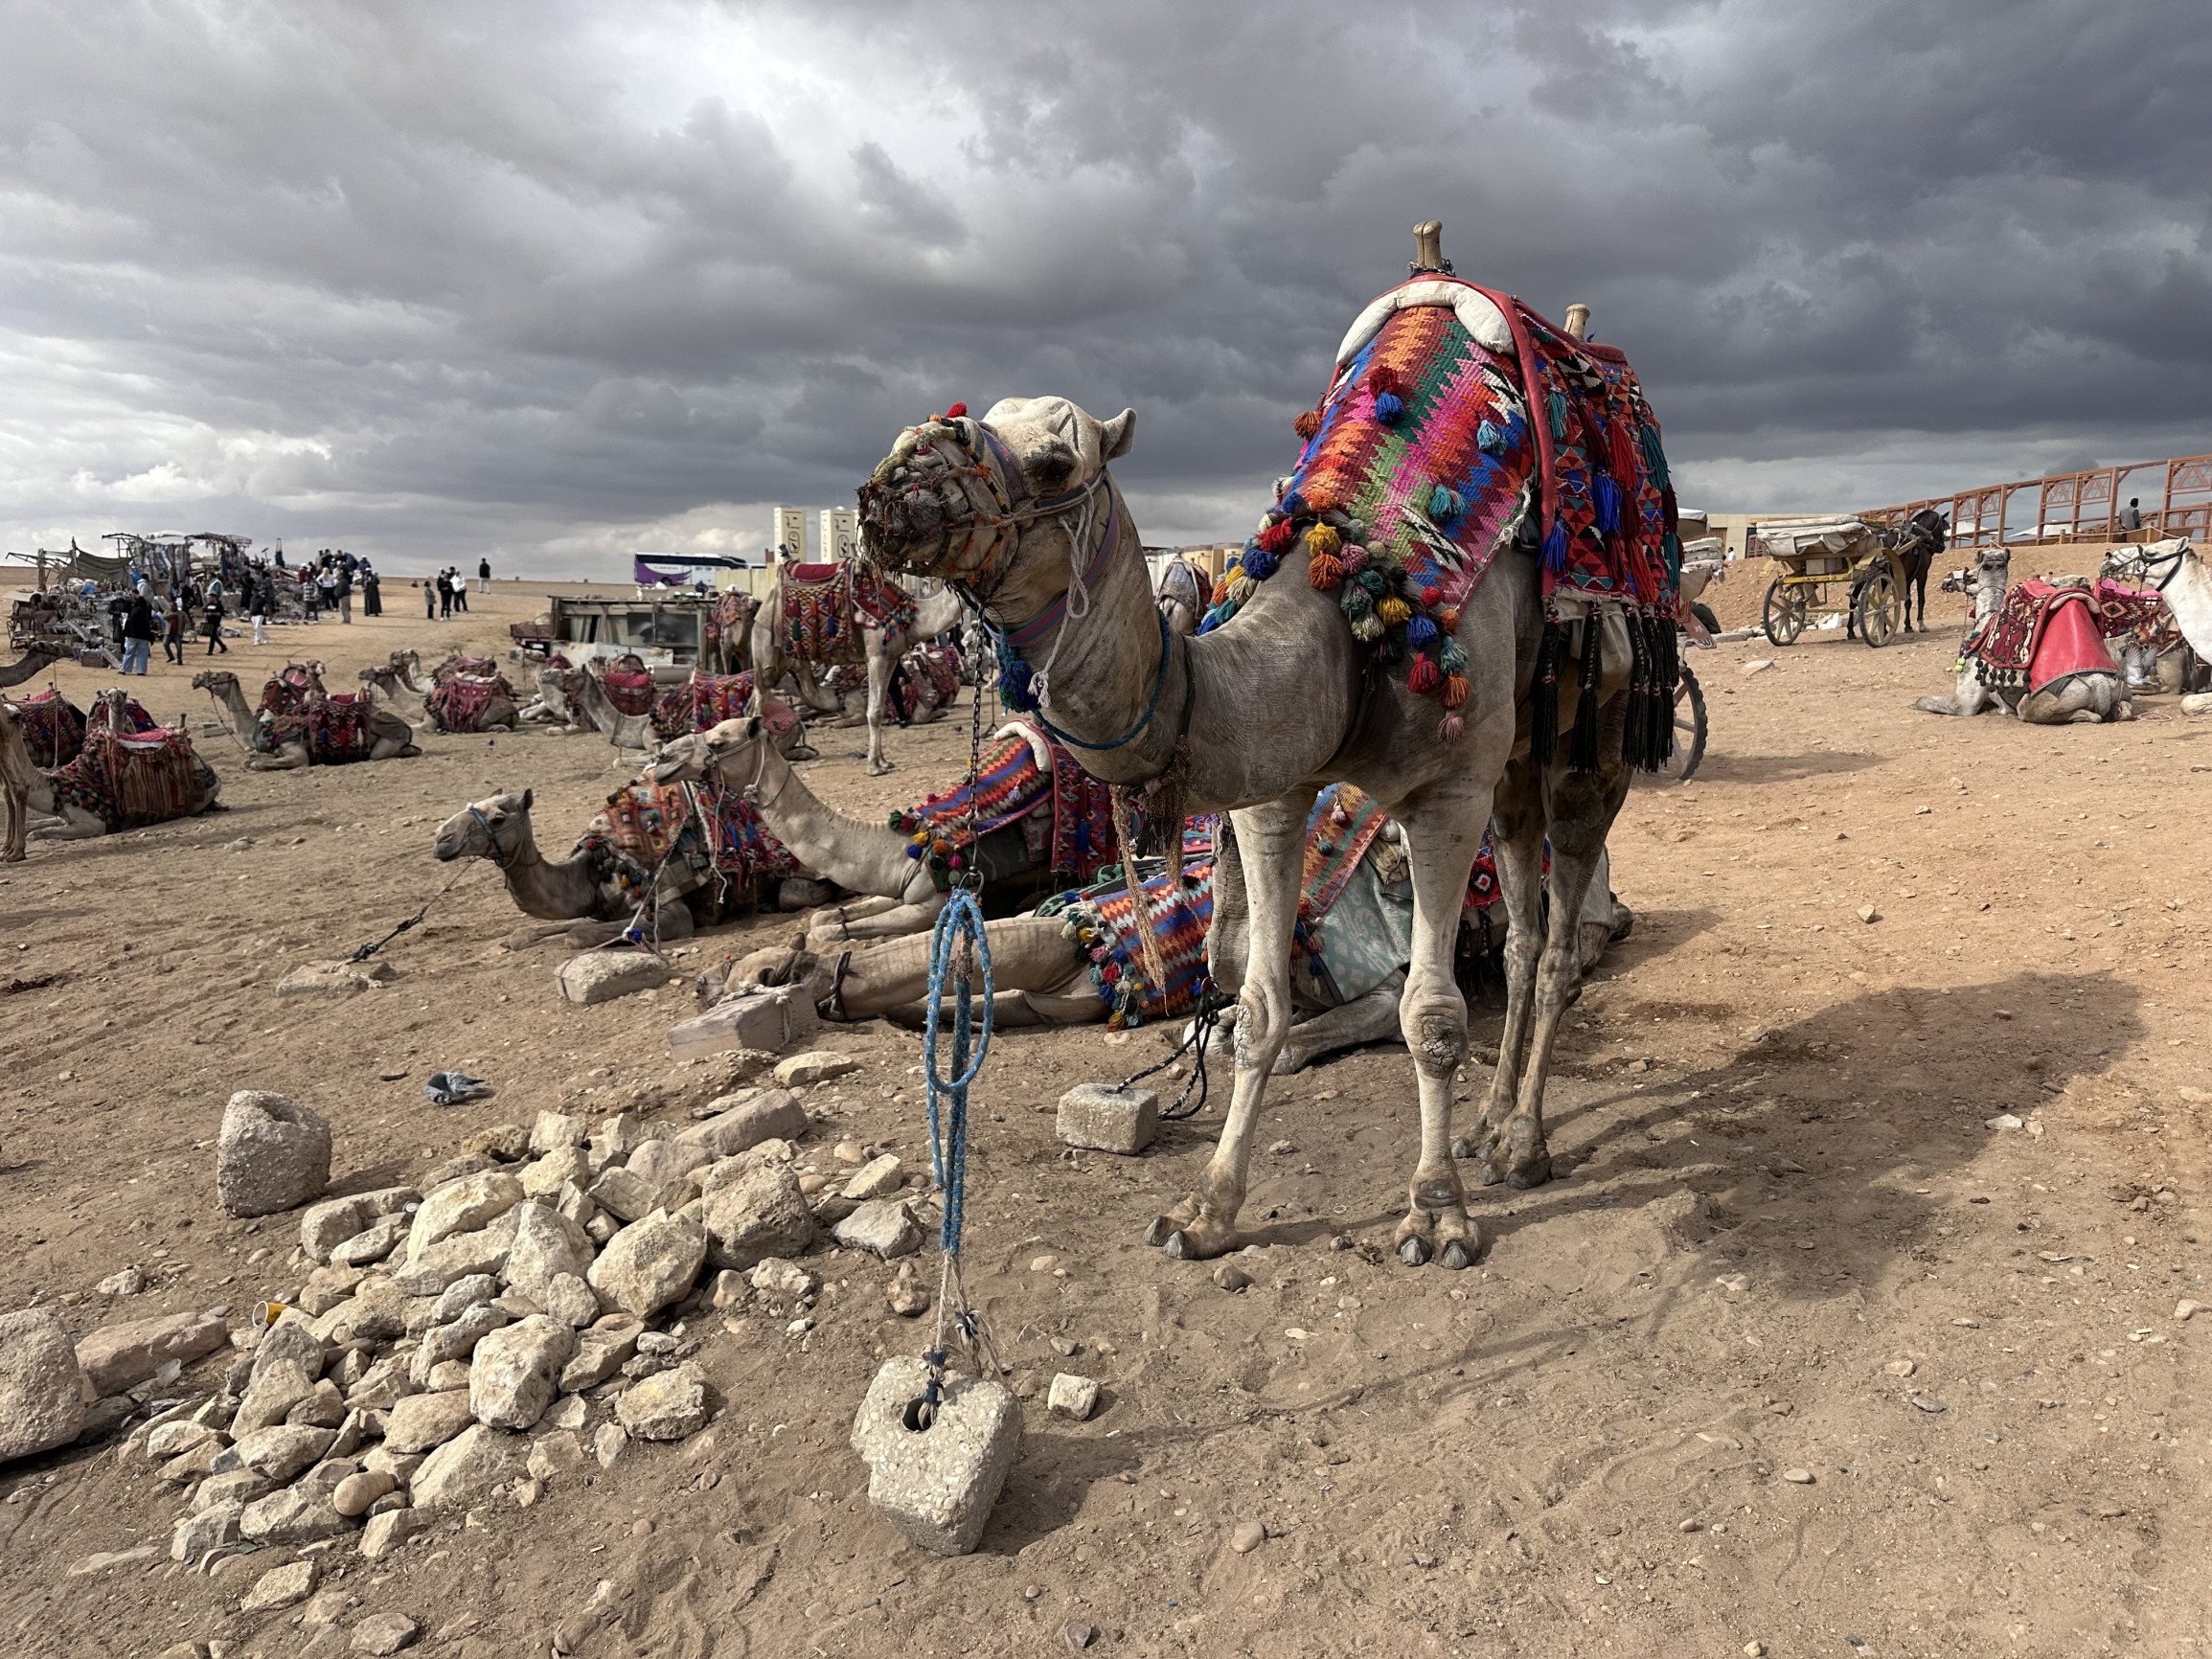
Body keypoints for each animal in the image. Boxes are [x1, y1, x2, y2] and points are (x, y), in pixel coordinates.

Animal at [0, 690, 221, 856]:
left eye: (6, 711)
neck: (56, 787)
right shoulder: (62, 816)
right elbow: (33, 826)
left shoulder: (94, 824)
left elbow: (35, 833)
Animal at [193, 669, 421, 767]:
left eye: (215, 676)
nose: (196, 678)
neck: (262, 730)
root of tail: (406, 728)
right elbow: (250, 761)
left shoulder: (296, 752)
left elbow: (257, 764)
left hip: (386, 742)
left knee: (380, 753)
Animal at [749, 568, 966, 774]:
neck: (910, 617)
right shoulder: (876, 655)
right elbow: (874, 712)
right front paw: (874, 767)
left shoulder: (890, 659)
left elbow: (878, 706)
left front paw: (884, 762)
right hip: (766, 651)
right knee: (758, 701)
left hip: (781, 658)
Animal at [856, 227, 1665, 1269]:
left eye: (1054, 462)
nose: (889, 486)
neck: (1350, 617)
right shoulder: (1272, 791)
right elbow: (1255, 1008)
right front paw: (1205, 1211)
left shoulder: (1444, 795)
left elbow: (1431, 1016)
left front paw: (1435, 1212)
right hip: (1516, 763)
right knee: (1524, 934)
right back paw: (1489, 1127)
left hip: (1590, 734)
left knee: (1561, 933)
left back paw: (1521, 1143)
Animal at [1914, 549, 2134, 723]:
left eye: (1970, 576)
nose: (1947, 579)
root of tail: (2100, 684)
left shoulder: (1965, 702)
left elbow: (1922, 700)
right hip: (2123, 692)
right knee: (2125, 710)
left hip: (2034, 705)